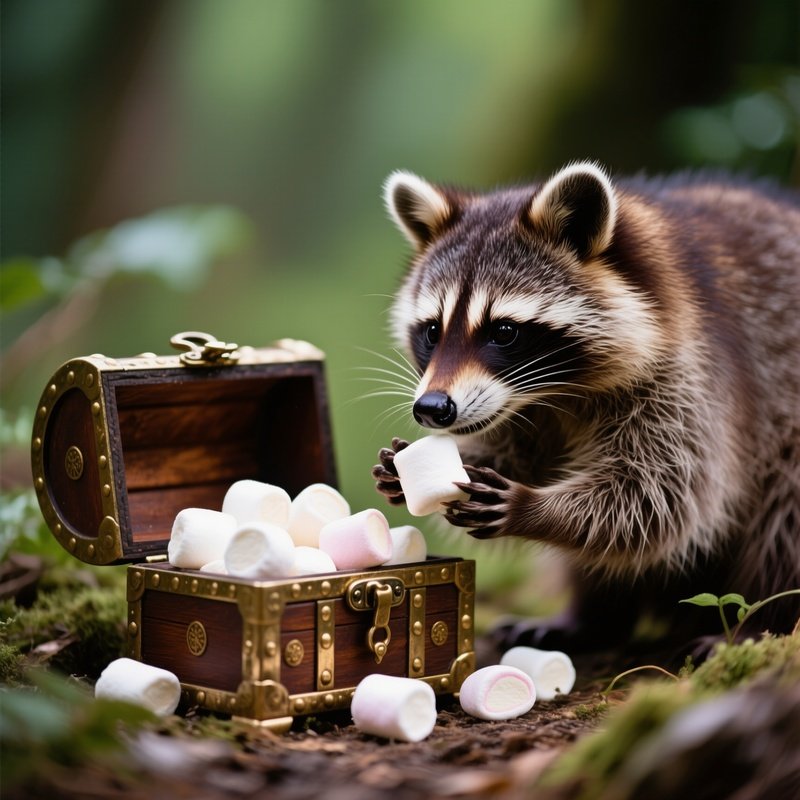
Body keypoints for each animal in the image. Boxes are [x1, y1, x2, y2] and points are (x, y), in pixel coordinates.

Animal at [372, 161, 800, 650]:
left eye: (504, 332)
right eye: (431, 330)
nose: (432, 408)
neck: (556, 392)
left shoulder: (694, 372)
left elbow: (662, 494)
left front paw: (532, 508)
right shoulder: (522, 407)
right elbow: (522, 455)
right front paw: (415, 468)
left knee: (784, 520)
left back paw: (761, 621)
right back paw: (591, 617)